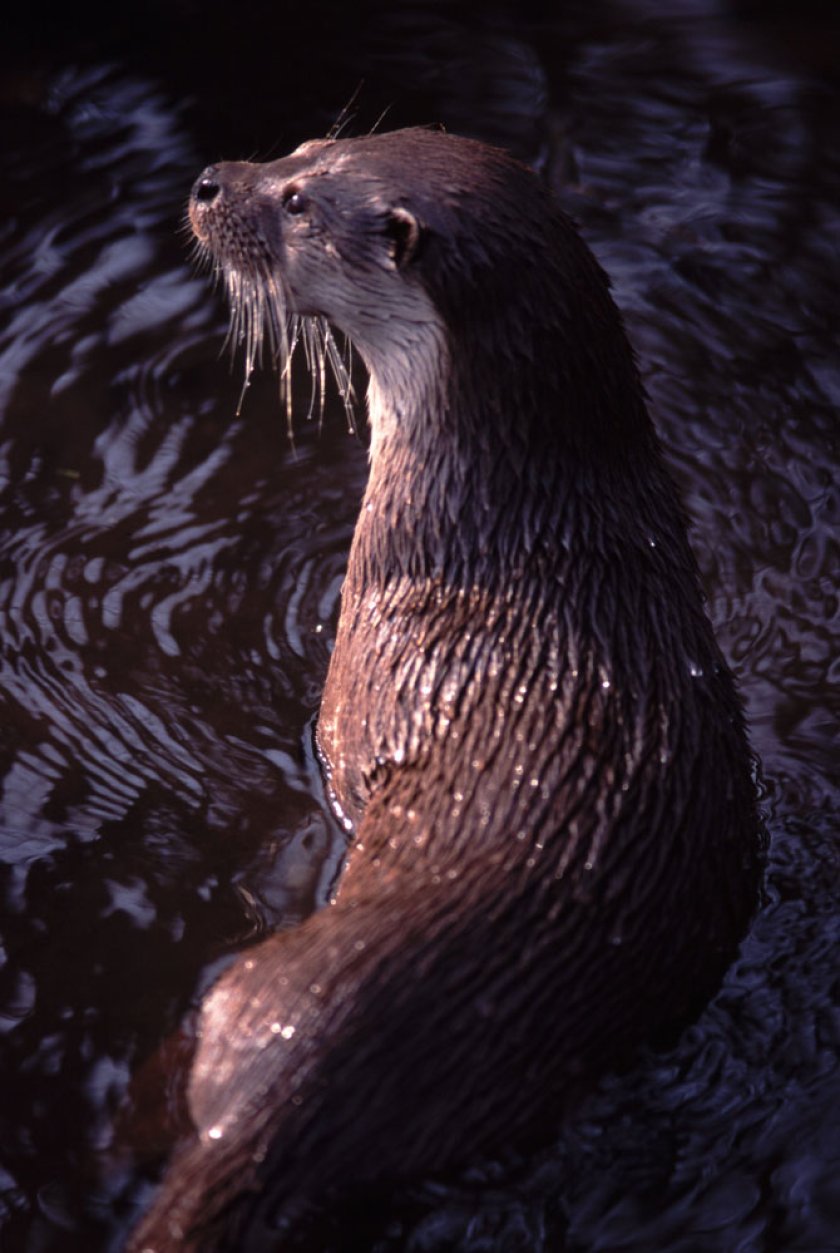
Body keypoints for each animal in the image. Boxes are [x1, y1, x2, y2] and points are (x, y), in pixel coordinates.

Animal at [129, 128, 762, 1251]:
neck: (497, 516)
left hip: (243, 990)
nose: (208, 184)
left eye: (296, 202)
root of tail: (307, 1082)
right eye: (305, 144)